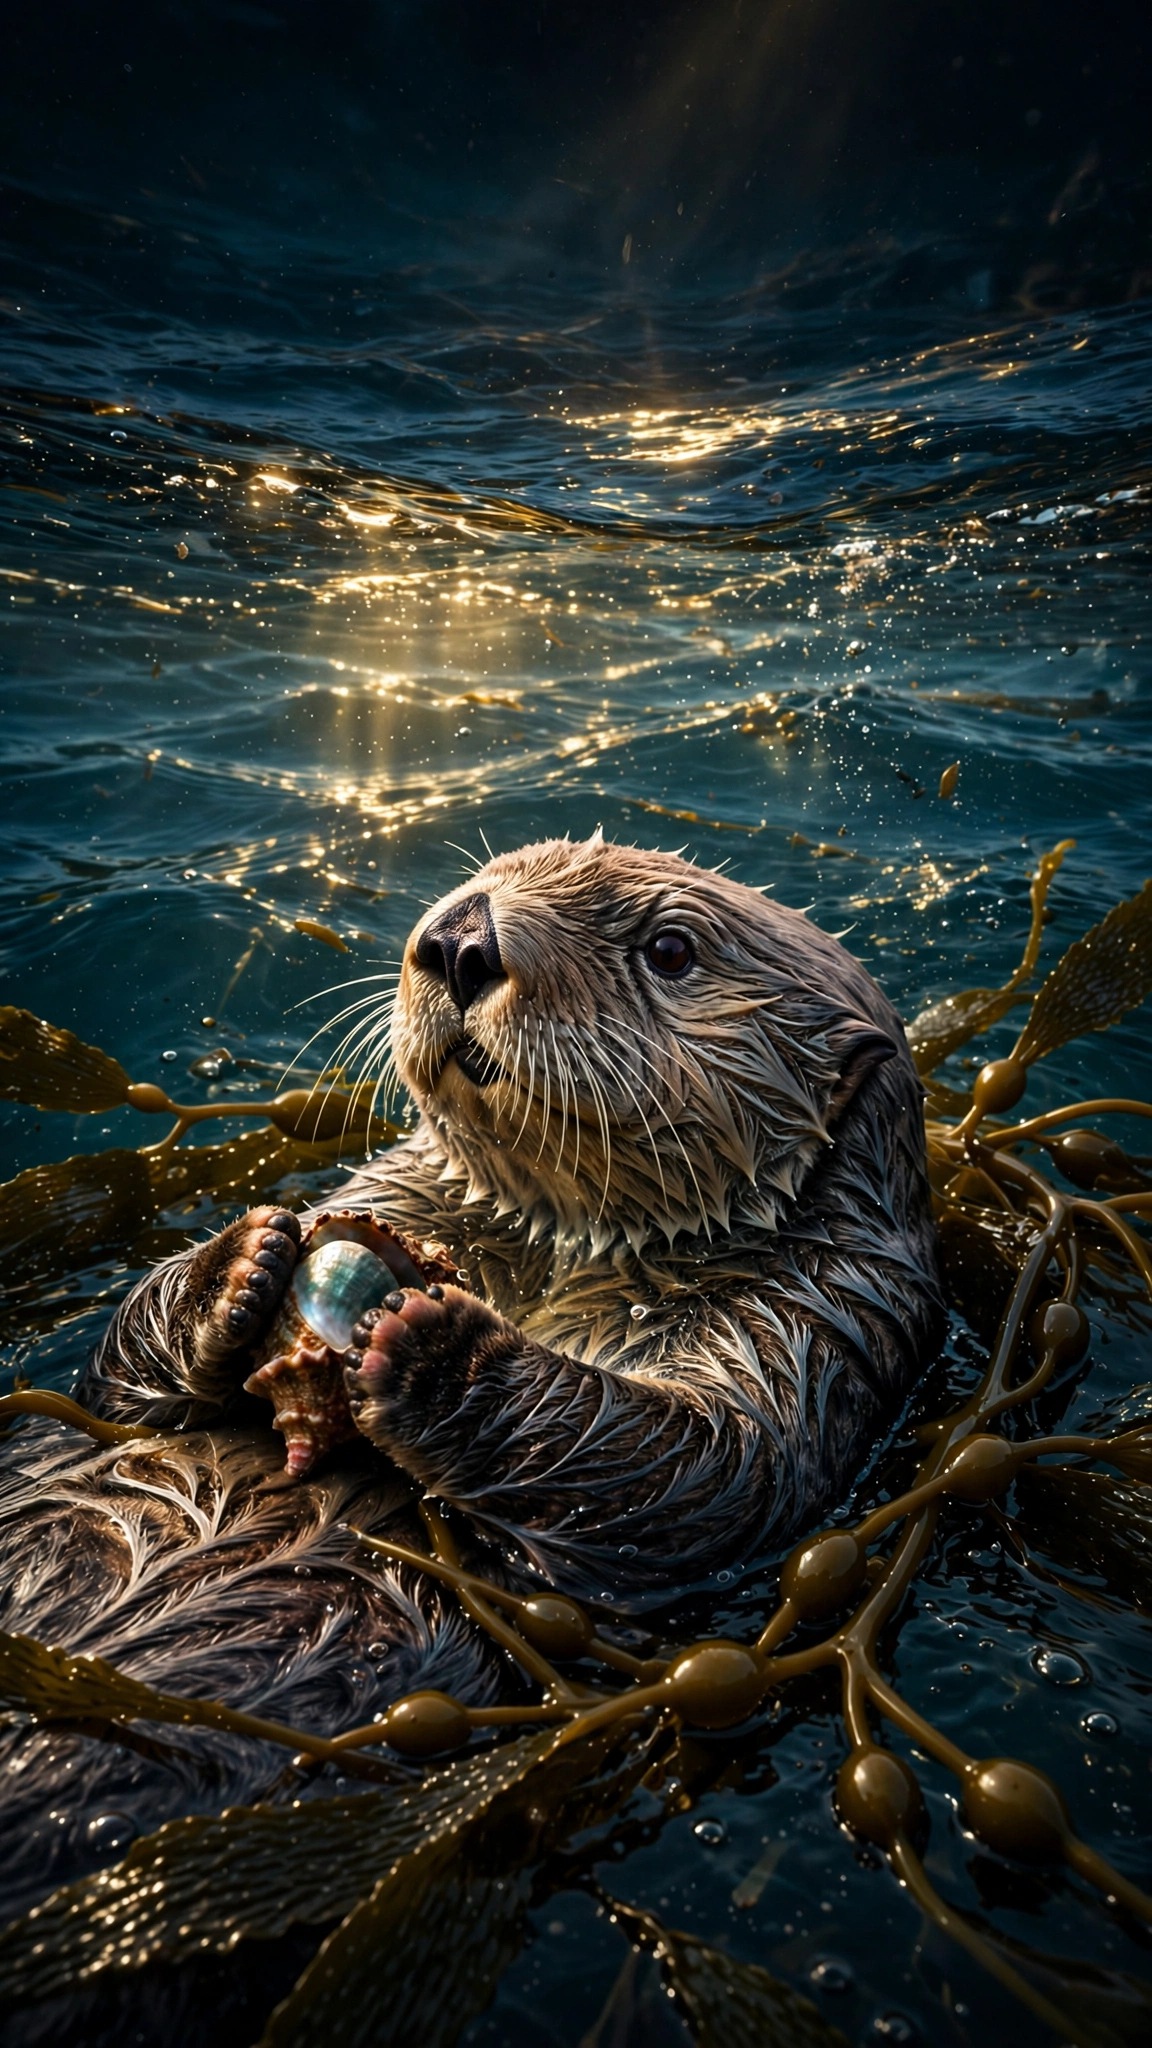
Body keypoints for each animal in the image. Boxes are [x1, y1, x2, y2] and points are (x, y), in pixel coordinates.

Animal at [0, 834, 942, 1921]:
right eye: (494, 870)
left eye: (669, 949)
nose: (459, 939)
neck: (554, 1252)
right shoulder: (395, 1191)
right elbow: (112, 1385)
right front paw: (237, 1265)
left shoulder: (816, 1325)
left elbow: (693, 1463)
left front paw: (432, 1344)